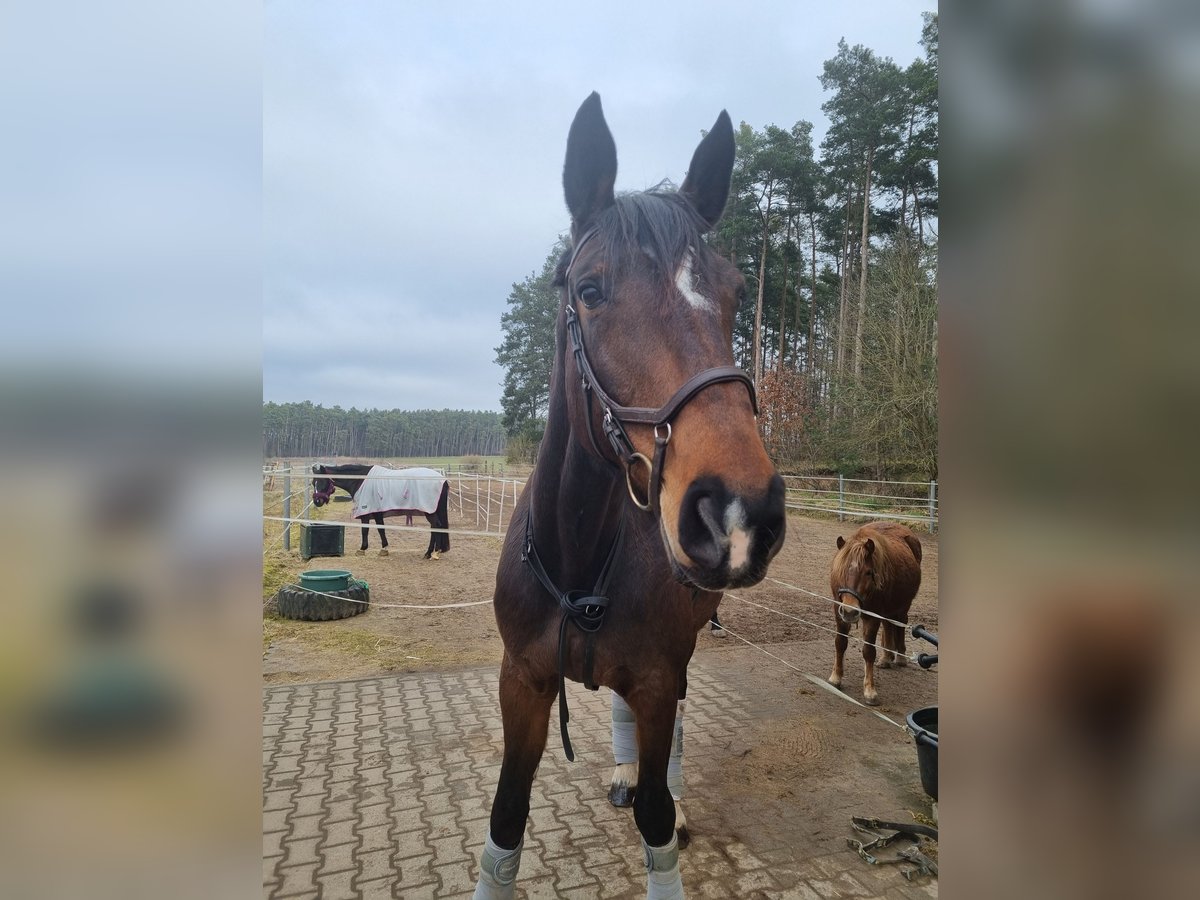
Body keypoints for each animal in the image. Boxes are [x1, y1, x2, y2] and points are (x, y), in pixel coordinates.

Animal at [312, 468, 451, 561]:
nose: (317, 501)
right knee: (435, 528)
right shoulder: (377, 513)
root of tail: (442, 479)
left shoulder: (368, 512)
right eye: (314, 482)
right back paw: (429, 553)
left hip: (429, 510)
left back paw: (433, 553)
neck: (361, 480)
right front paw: (384, 548)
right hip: (431, 510)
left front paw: (363, 549)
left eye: (322, 481)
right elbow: (381, 529)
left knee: (436, 526)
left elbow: (368, 530)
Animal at [468, 93, 787, 900]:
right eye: (589, 290)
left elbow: (655, 818)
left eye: (736, 294)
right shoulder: (522, 683)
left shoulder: (655, 677)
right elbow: (505, 823)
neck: (578, 553)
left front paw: (662, 805)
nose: (738, 512)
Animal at [830, 525, 921, 710]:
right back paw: (886, 658)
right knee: (888, 624)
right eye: (841, 569)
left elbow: (868, 651)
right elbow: (840, 643)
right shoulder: (838, 610)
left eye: (868, 572)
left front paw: (870, 691)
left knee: (900, 624)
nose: (850, 611)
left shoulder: (872, 617)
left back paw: (900, 657)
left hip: (903, 605)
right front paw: (836, 678)